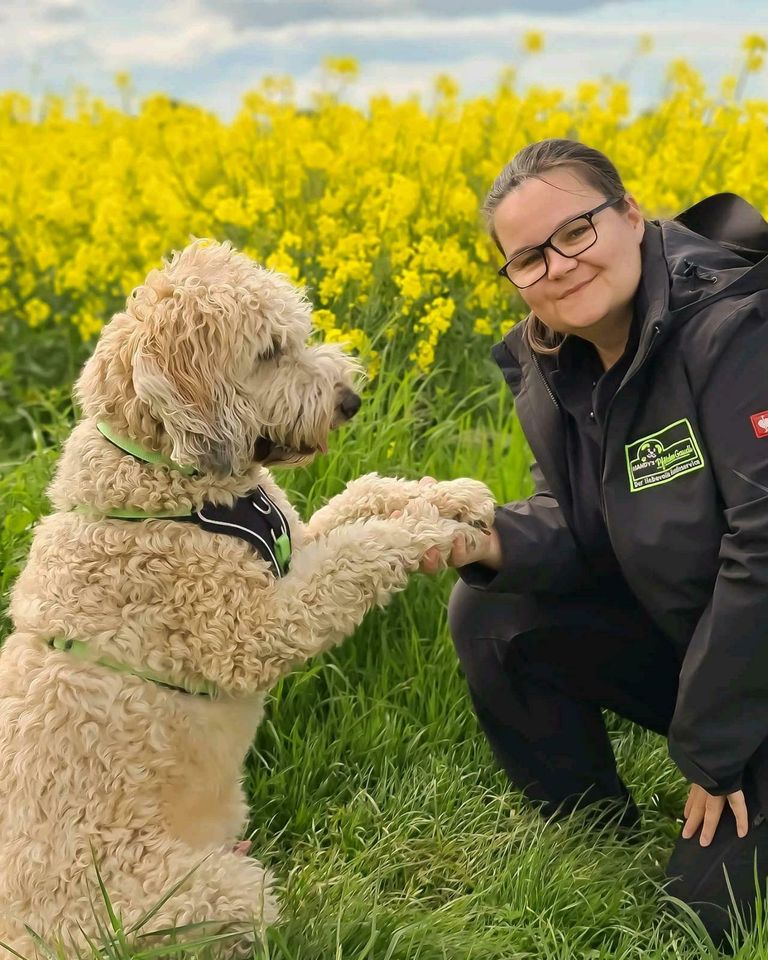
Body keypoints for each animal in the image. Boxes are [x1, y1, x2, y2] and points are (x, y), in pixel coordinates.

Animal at [0, 238, 492, 952]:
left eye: (298, 335)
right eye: (267, 353)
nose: (350, 399)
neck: (164, 481)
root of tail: (21, 934)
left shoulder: (294, 547)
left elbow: (361, 500)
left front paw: (451, 495)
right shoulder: (256, 626)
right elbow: (360, 550)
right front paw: (431, 527)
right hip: (196, 897)